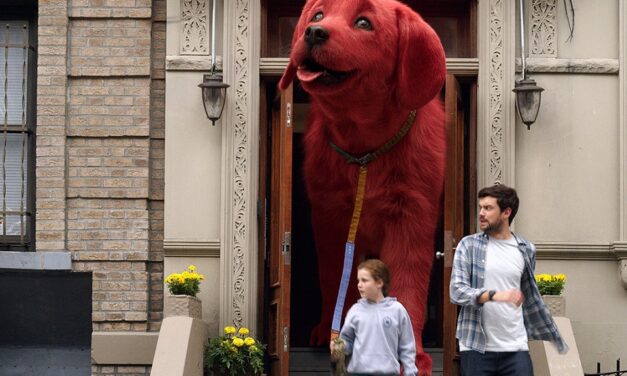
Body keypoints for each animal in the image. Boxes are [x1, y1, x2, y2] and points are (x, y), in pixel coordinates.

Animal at [280, 0, 446, 374]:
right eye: (318, 15)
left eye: (364, 23)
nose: (314, 32)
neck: (365, 153)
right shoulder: (330, 217)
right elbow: (334, 278)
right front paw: (334, 334)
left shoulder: (411, 217)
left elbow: (408, 283)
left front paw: (414, 356)